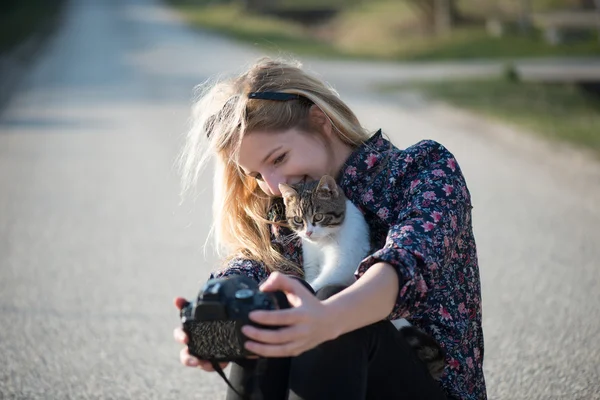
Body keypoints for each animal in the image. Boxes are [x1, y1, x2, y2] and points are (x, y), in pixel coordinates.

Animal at [278, 177, 446, 380]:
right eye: (298, 220)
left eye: (318, 217)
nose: (309, 232)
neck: (323, 242)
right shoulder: (311, 262)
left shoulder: (342, 266)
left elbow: (318, 282)